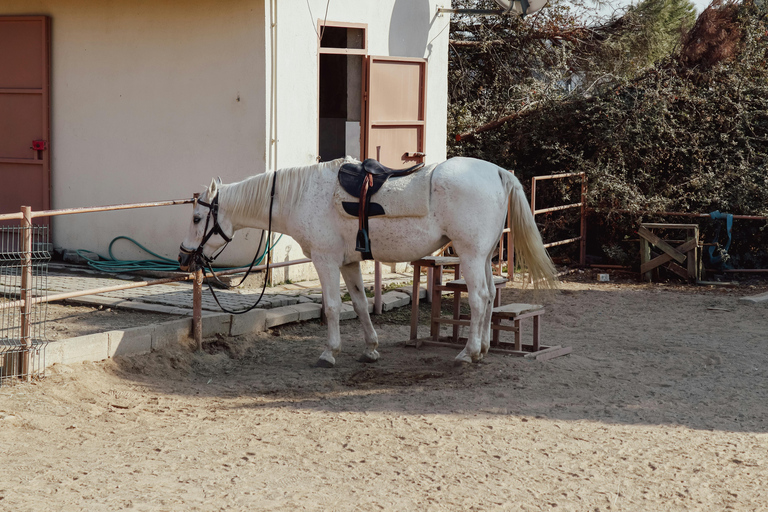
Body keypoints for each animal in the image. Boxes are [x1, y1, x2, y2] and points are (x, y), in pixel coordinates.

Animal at [178, 157, 556, 368]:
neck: (302, 196)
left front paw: (329, 354)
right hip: (484, 256)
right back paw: (485, 349)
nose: (183, 257)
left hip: (471, 255)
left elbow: (332, 307)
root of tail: (498, 172)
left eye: (197, 217)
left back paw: (468, 353)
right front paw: (371, 350)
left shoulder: (326, 261)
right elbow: (359, 305)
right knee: (490, 297)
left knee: (478, 300)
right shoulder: (349, 263)